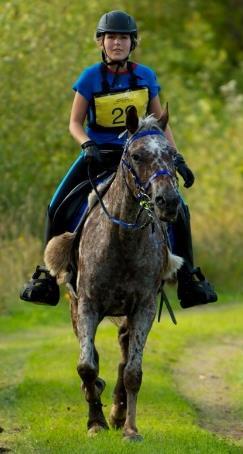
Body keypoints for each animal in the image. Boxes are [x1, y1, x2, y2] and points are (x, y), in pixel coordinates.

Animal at [44, 105, 183, 440]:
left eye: (172, 155)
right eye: (136, 155)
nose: (168, 202)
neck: (123, 240)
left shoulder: (144, 307)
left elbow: (133, 371)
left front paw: (130, 429)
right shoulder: (87, 305)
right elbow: (86, 365)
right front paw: (95, 422)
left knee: (123, 353)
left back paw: (119, 412)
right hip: (74, 304)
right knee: (94, 354)